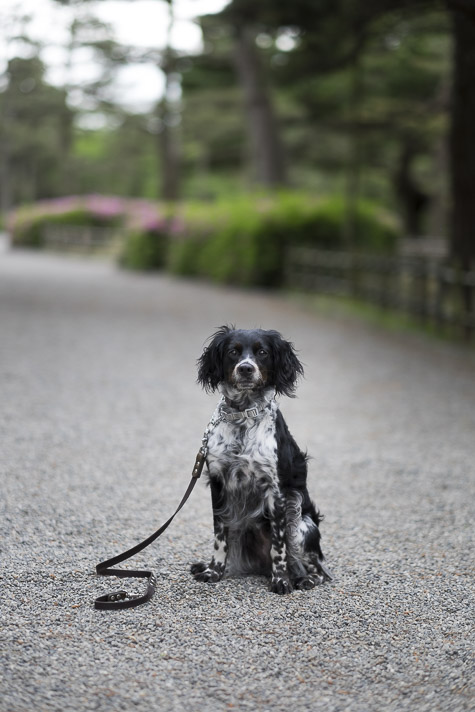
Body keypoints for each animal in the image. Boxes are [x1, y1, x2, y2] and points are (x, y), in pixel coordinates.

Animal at [192, 326, 332, 592]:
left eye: (263, 352)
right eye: (233, 351)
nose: (246, 368)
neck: (243, 416)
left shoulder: (276, 491)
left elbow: (278, 546)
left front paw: (281, 580)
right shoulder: (219, 483)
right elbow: (219, 537)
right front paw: (213, 571)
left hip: (301, 525)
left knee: (318, 569)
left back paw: (304, 578)